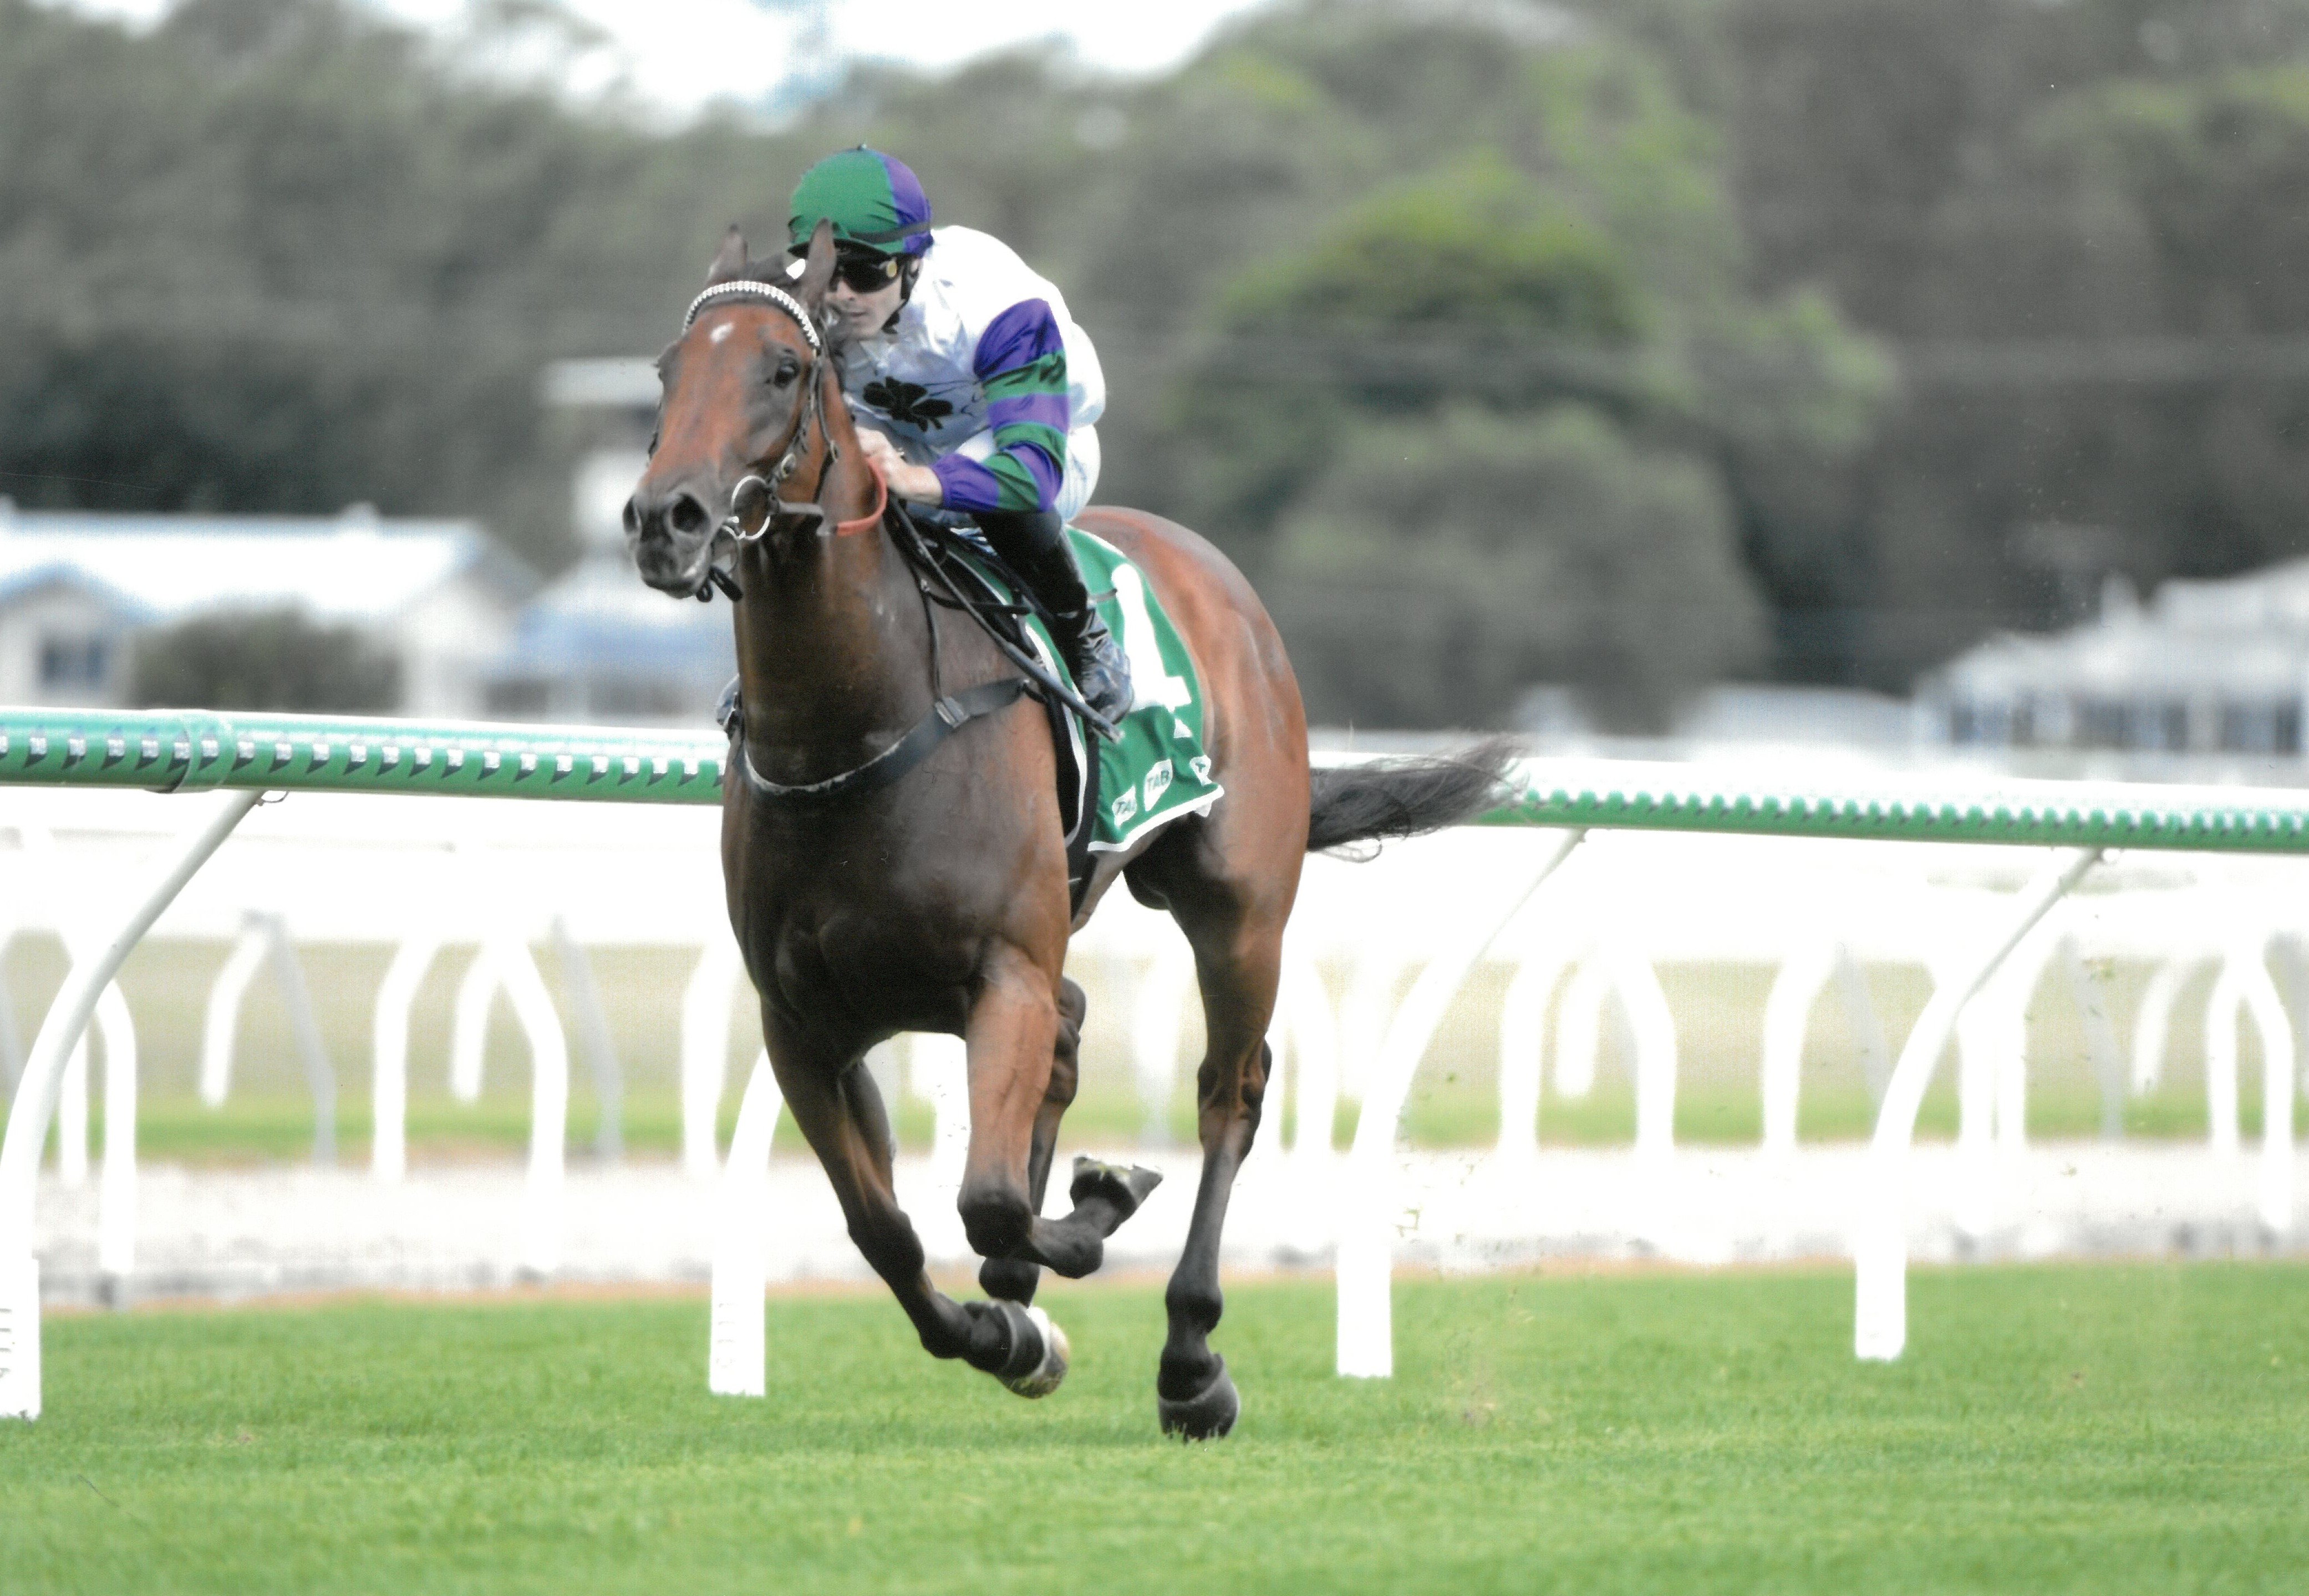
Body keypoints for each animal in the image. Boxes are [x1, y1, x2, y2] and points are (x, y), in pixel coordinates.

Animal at [625, 221, 1513, 1438]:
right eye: (669, 370)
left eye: (783, 369)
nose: (665, 519)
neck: (856, 727)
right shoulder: (802, 1019)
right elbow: (888, 1228)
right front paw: (1009, 1332)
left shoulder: (1003, 970)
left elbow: (994, 1200)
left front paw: (1090, 1215)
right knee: (1077, 1033)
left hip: (1237, 910)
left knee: (1228, 1094)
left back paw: (1190, 1357)